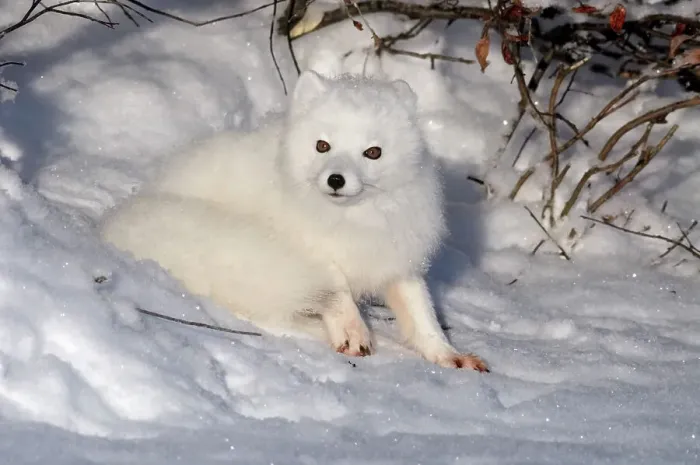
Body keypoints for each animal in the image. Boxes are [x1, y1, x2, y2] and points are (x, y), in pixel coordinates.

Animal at [99, 70, 488, 372]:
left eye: (373, 152)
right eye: (322, 146)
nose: (335, 180)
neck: (350, 220)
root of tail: (115, 223)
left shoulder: (396, 256)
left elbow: (423, 314)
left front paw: (448, 356)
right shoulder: (305, 247)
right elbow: (336, 288)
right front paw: (351, 331)